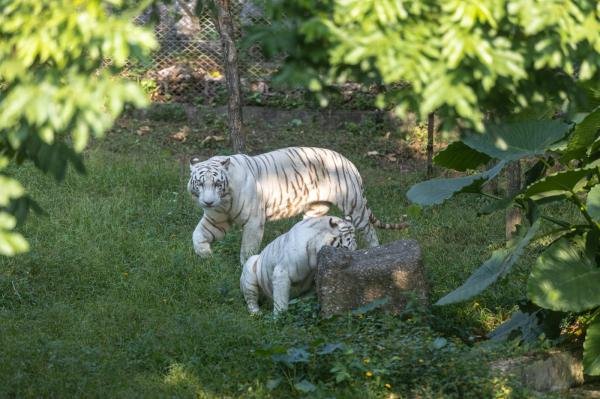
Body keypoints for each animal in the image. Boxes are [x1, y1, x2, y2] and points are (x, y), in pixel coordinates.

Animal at [189, 147, 408, 266]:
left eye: (217, 184)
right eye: (200, 184)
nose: (208, 202)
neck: (224, 201)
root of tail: (349, 162)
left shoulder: (253, 222)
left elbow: (247, 248)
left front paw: (244, 266)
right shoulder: (216, 220)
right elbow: (197, 234)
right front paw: (206, 255)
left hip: (354, 205)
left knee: (369, 231)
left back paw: (375, 251)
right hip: (315, 208)